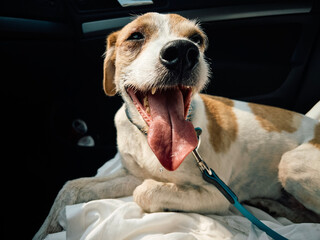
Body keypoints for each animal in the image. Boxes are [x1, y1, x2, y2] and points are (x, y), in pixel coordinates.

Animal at [33, 12, 320, 238]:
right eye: (135, 36)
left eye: (197, 39)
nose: (182, 52)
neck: (148, 139)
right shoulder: (132, 174)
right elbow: (72, 187)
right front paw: (46, 230)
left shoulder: (218, 195)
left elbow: (145, 192)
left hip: (291, 164)